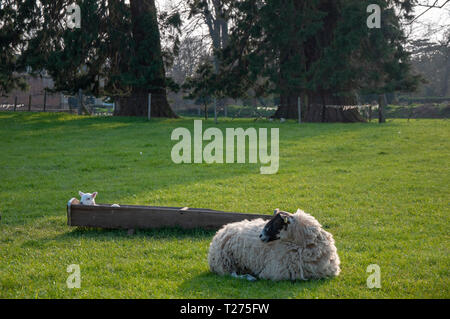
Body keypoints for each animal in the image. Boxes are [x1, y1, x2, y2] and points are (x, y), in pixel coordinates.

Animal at [207, 210, 342, 282]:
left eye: (277, 223)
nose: (260, 235)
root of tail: (220, 232)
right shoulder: (275, 272)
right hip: (225, 262)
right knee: (232, 274)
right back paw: (250, 277)